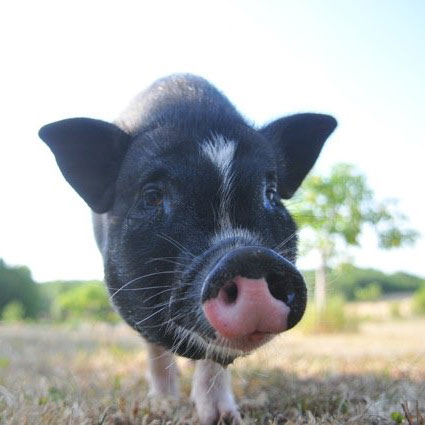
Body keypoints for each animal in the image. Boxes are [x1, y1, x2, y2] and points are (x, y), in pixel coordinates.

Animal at [38, 74, 336, 422]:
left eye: (270, 193)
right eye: (152, 195)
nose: (249, 256)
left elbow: (214, 360)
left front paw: (224, 418)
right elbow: (155, 348)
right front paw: (162, 406)